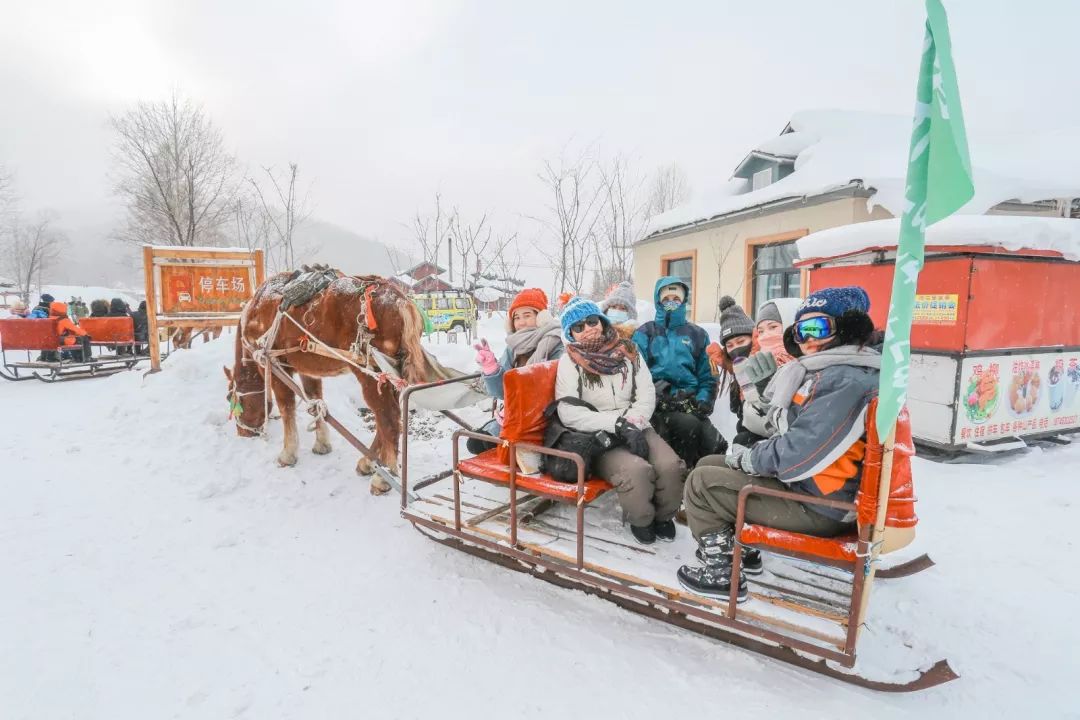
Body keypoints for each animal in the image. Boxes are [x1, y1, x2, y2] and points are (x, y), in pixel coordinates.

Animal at [223, 272, 434, 496]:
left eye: (231, 398)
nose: (243, 433)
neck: (257, 309)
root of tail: (401, 300)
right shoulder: (308, 367)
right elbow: (315, 401)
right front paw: (322, 443)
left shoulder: (274, 364)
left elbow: (286, 408)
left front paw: (288, 453)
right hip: (390, 373)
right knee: (389, 418)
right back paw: (369, 462)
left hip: (370, 372)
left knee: (389, 419)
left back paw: (384, 477)